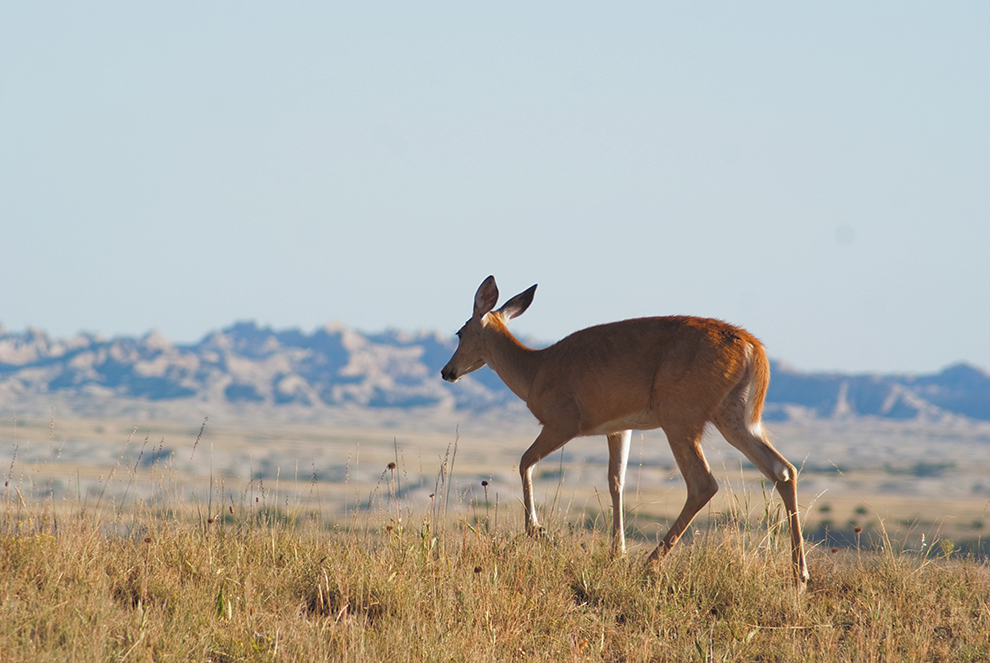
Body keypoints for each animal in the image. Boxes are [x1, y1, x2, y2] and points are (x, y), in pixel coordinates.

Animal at [444, 278, 812, 588]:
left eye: (460, 332)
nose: (447, 371)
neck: (535, 372)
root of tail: (753, 349)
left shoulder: (563, 422)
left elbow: (524, 462)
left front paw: (538, 531)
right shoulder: (619, 427)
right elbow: (615, 482)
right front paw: (616, 551)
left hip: (680, 416)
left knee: (703, 482)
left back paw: (652, 561)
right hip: (737, 418)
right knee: (783, 470)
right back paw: (800, 574)